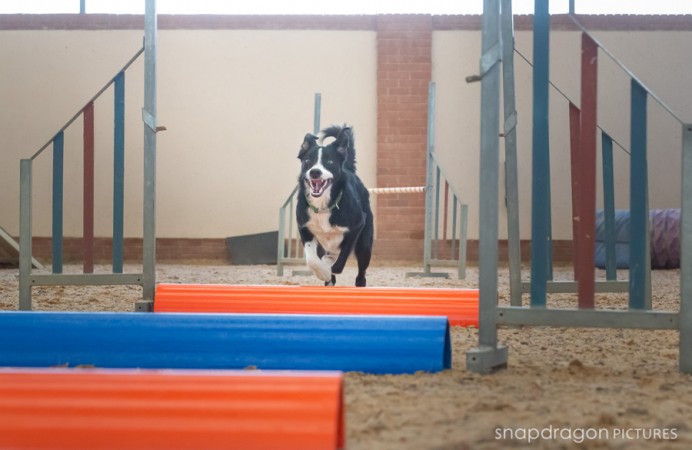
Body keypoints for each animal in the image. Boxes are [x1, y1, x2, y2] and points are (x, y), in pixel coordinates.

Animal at [296, 124, 373, 286]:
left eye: (330, 162)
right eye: (308, 161)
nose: (315, 172)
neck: (323, 206)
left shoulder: (357, 226)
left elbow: (342, 257)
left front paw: (329, 268)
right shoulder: (304, 227)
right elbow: (311, 259)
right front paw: (323, 272)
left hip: (364, 245)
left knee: (361, 275)